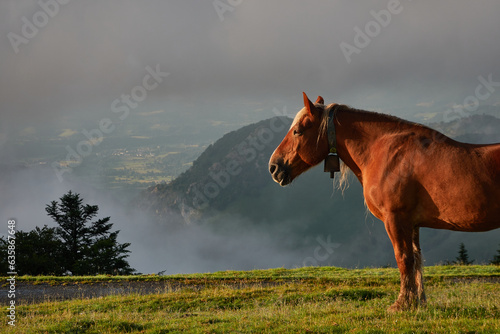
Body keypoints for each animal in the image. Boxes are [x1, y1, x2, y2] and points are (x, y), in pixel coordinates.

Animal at [270, 92, 500, 310]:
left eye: (297, 131)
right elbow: (416, 259)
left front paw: (403, 303)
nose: (274, 167)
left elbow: (403, 258)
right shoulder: (412, 223)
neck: (387, 152)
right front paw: (418, 301)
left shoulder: (395, 218)